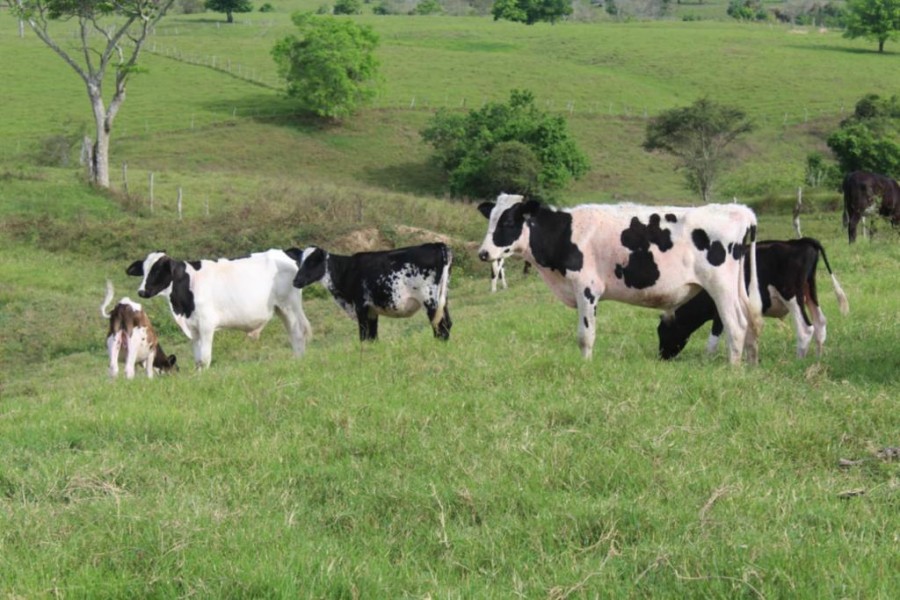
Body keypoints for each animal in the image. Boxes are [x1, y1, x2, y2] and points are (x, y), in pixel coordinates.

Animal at [292, 241, 454, 340]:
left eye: (312, 262)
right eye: (299, 262)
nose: (295, 281)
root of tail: (438, 245)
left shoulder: (361, 306)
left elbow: (363, 336)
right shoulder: (372, 310)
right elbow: (373, 337)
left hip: (430, 299)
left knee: (439, 325)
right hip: (442, 298)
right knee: (447, 324)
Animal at [474, 195, 764, 364]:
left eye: (508, 221)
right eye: (490, 219)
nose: (483, 253)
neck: (565, 233)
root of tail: (738, 210)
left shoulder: (587, 288)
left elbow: (585, 335)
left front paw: (585, 369)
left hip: (721, 286)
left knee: (736, 324)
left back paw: (733, 369)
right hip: (739, 287)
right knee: (750, 321)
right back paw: (750, 364)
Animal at [656, 238, 848, 360]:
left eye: (662, 331)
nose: (662, 356)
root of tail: (800, 242)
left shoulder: (721, 311)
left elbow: (715, 337)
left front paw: (707, 360)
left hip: (791, 295)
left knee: (805, 328)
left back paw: (798, 361)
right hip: (810, 291)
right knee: (820, 322)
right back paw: (817, 359)